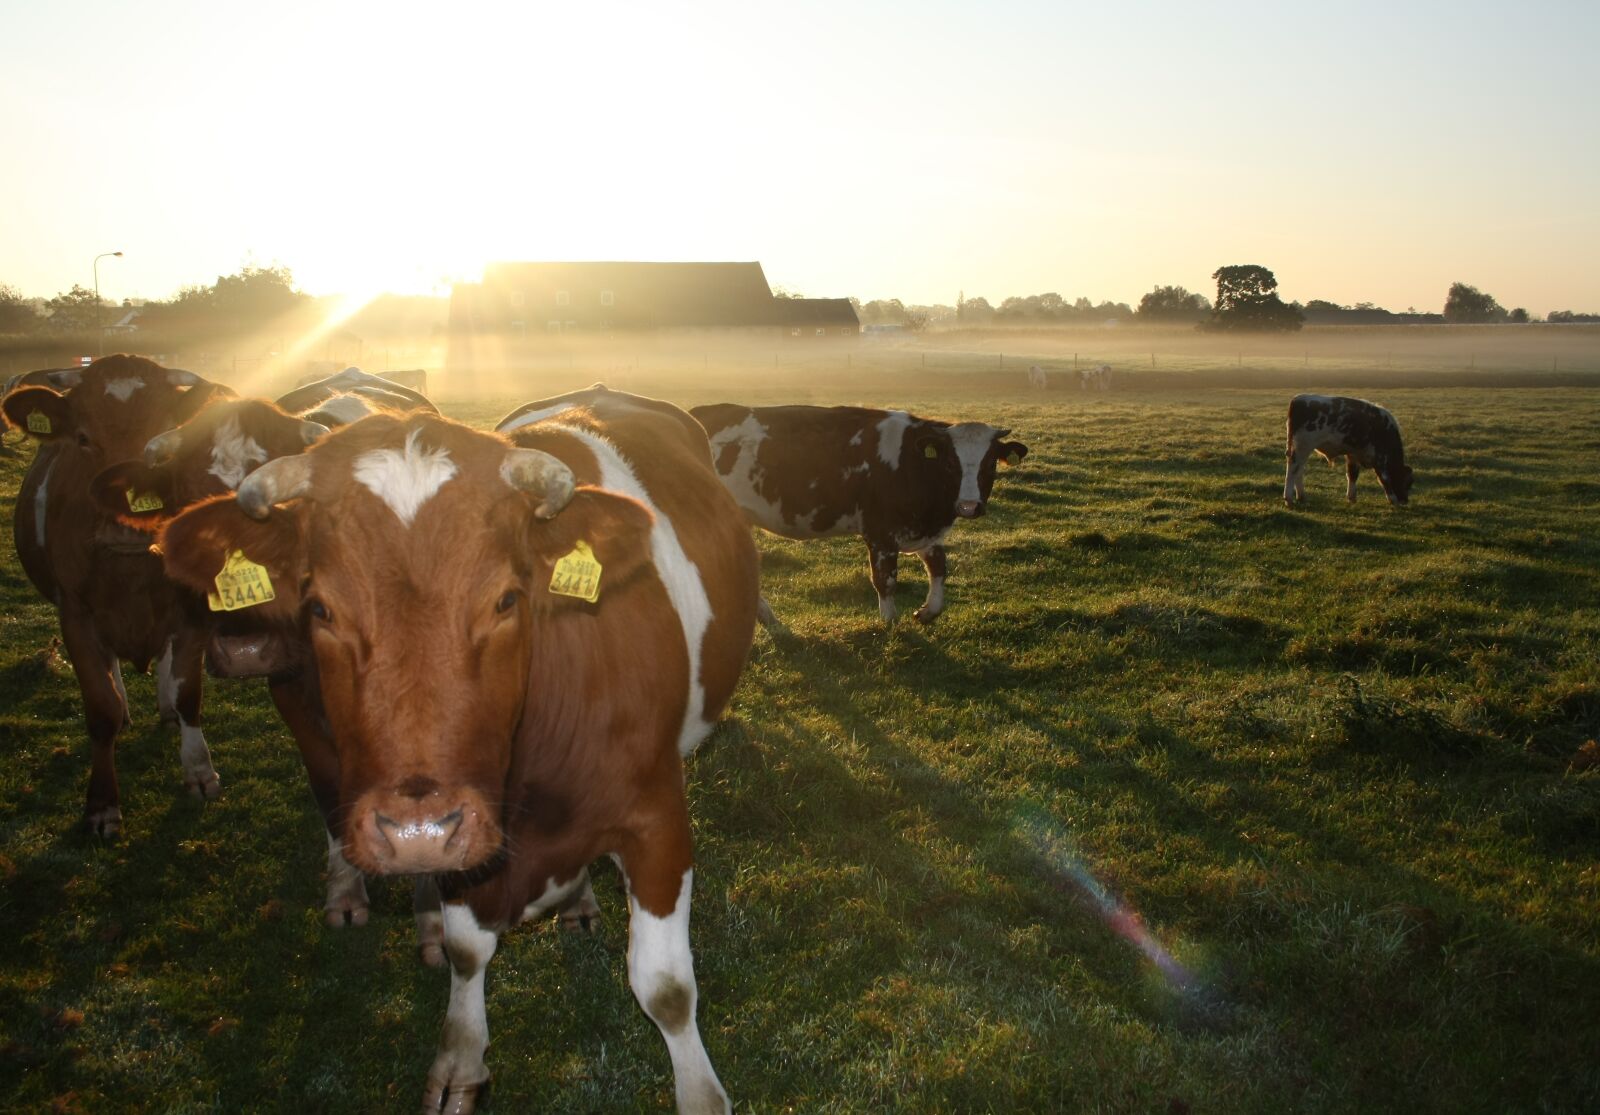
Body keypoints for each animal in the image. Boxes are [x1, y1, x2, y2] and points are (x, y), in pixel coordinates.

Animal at [1, 355, 235, 834]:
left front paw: (200, 773)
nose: (126, 529)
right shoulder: (75, 616)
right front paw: (102, 805)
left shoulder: (193, 609)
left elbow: (188, 693)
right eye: (82, 438)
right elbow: (101, 707)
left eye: (162, 437)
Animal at [158, 386, 758, 1113]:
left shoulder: (657, 815)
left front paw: (700, 1090)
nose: (415, 830)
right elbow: (467, 952)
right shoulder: (462, 848)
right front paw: (461, 1058)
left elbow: (665, 987)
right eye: (320, 607)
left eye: (507, 598)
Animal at [689, 403, 1028, 626]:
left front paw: (929, 611)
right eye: (949, 463)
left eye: (991, 464)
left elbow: (939, 566)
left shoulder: (922, 530)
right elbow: (886, 580)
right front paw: (890, 624)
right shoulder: (880, 533)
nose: (969, 506)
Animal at [1284, 394, 1413, 507]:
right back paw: (1289, 499)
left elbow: (1352, 474)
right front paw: (1393, 500)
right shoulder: (1380, 458)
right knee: (1293, 469)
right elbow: (1384, 479)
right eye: (1407, 483)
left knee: (1299, 470)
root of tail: (1298, 399)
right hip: (1302, 447)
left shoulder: (1353, 454)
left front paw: (1351, 497)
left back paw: (1301, 496)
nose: (1405, 500)